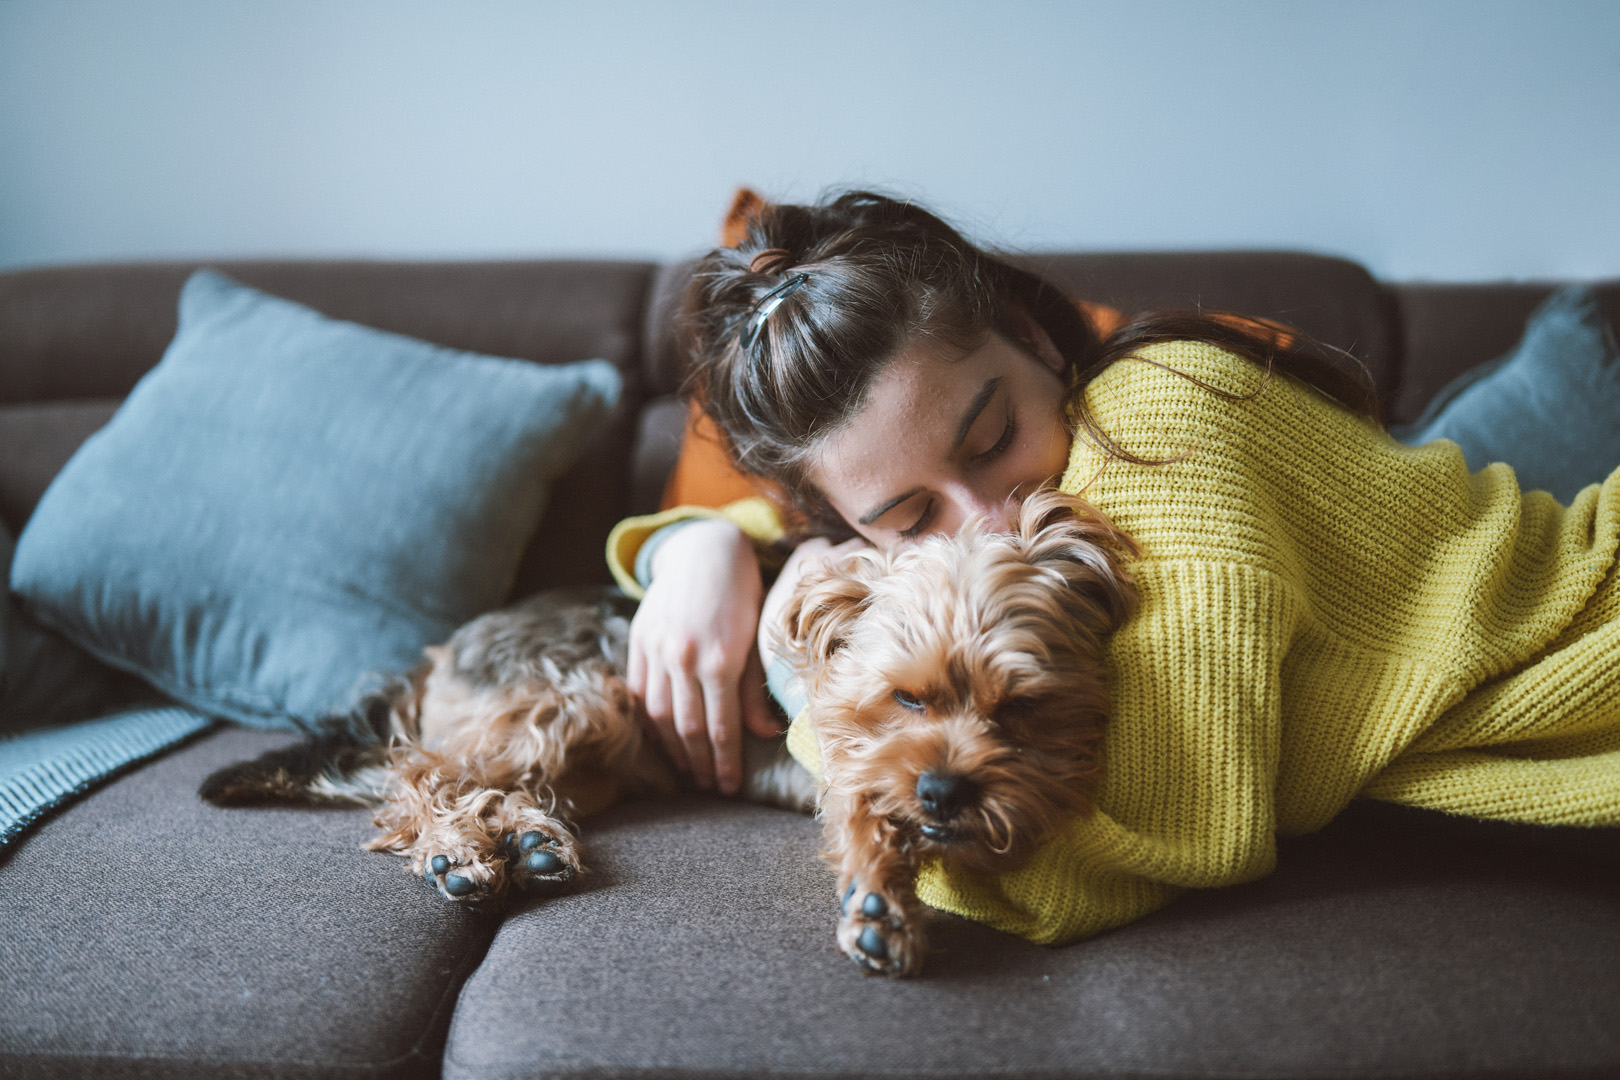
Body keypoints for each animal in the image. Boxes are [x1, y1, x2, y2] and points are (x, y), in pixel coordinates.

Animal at [202, 485, 1140, 977]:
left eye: (1020, 708)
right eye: (904, 699)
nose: (945, 791)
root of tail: (448, 645)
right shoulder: (855, 754)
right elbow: (866, 806)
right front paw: (880, 894)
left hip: (601, 752)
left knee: (488, 780)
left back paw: (529, 842)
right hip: (577, 697)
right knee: (420, 774)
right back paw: (459, 851)